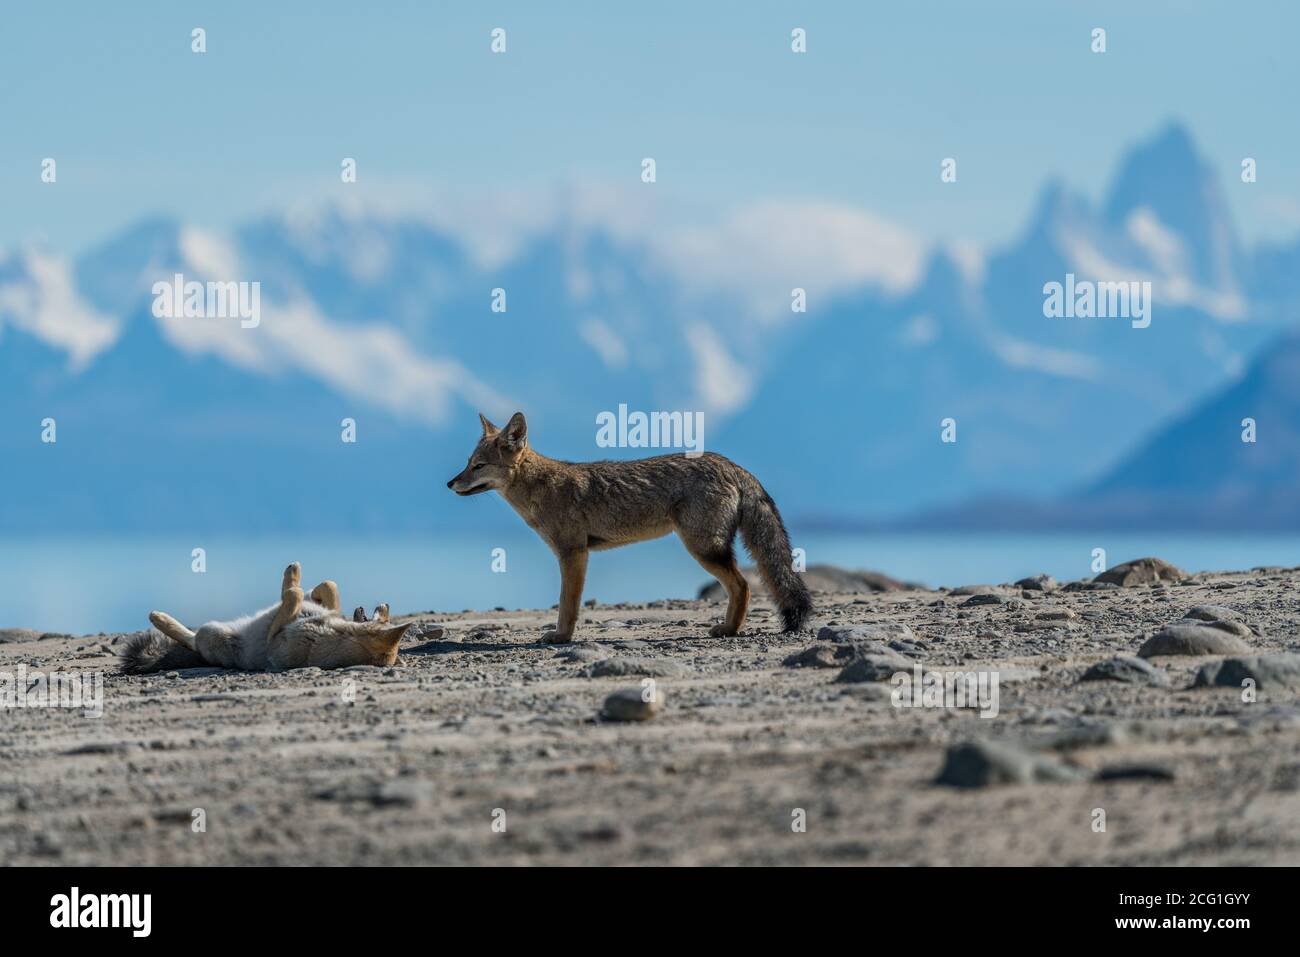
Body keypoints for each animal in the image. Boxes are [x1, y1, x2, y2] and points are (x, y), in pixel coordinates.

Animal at [120, 561, 410, 670]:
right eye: (384, 615)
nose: (385, 602)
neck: (335, 632)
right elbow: (328, 585)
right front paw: (306, 583)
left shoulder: (274, 640)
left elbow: (294, 594)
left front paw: (292, 579)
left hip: (212, 632)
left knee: (191, 638)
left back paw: (158, 617)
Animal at [449, 410, 811, 642]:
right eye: (468, 464)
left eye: (478, 466)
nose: (449, 483)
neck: (541, 487)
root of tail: (733, 464)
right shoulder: (575, 553)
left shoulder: (573, 553)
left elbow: (568, 604)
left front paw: (562, 637)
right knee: (745, 586)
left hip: (704, 550)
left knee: (744, 586)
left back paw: (728, 630)